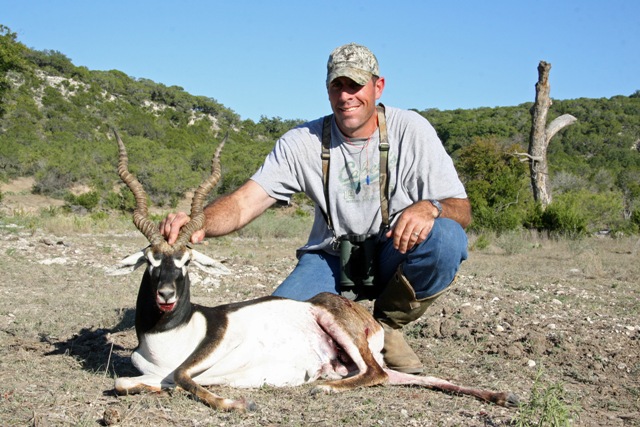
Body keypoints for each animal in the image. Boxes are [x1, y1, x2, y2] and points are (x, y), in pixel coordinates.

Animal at [111, 130, 520, 412]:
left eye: (186, 262)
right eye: (150, 261)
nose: (166, 295)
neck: (170, 336)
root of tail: (363, 317)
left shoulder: (205, 357)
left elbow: (181, 376)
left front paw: (236, 404)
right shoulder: (149, 372)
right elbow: (126, 383)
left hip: (336, 324)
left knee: (377, 374)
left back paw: (320, 387)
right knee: (399, 377)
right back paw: (502, 395)